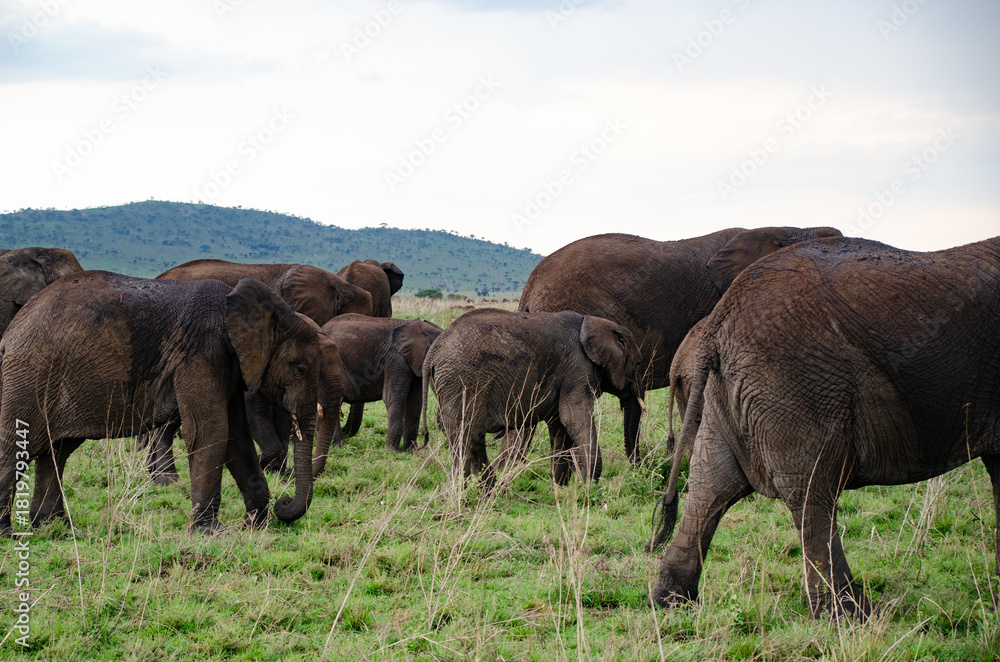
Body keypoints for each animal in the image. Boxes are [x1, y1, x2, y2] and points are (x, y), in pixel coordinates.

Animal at [0, 272, 322, 534]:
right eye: (299, 369)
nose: (284, 502)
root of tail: (12, 331)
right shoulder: (203, 351)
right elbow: (210, 431)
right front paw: (210, 533)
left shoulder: (228, 363)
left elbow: (236, 438)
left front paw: (257, 527)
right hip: (30, 375)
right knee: (17, 445)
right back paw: (10, 534)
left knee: (58, 450)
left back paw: (57, 528)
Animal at [311, 314, 441, 472]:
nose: (425, 441)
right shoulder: (396, 360)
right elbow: (391, 397)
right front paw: (392, 452)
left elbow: (414, 402)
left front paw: (409, 452)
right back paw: (341, 446)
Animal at [420, 309, 641, 492]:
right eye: (638, 364)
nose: (638, 470)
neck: (593, 322)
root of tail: (433, 352)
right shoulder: (578, 369)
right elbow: (574, 418)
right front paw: (590, 488)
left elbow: (560, 426)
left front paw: (559, 489)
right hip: (461, 382)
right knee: (464, 436)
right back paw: (464, 494)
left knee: (472, 437)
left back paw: (488, 493)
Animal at [651, 235, 1000, 618]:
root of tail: (720, 320)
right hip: (795, 387)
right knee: (811, 492)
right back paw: (849, 615)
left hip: (729, 391)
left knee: (711, 484)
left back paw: (670, 601)